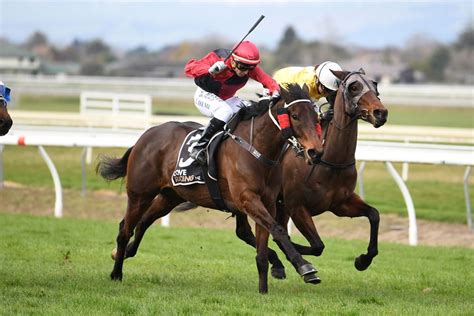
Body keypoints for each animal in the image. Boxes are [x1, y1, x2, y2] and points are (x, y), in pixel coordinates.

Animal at [97, 84, 326, 294]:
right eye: (295, 116)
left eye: (316, 116)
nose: (315, 152)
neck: (256, 149)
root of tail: (144, 137)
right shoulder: (248, 199)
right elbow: (278, 230)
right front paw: (305, 267)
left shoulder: (267, 202)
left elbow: (264, 246)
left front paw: (264, 290)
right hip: (140, 194)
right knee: (125, 229)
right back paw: (116, 273)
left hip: (171, 196)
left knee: (143, 222)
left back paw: (123, 253)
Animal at [280, 69, 386, 272]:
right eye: (354, 87)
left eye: (374, 84)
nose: (381, 113)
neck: (331, 163)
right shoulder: (296, 207)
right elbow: (317, 245)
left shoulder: (340, 204)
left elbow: (374, 215)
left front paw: (363, 260)